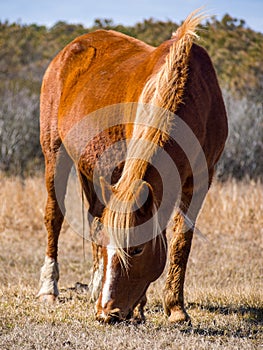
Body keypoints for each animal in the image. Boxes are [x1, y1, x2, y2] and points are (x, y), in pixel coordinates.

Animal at [37, 9, 229, 324]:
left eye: (137, 250)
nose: (107, 313)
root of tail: (72, 48)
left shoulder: (201, 180)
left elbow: (181, 240)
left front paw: (176, 309)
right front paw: (142, 307)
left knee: (94, 214)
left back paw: (94, 286)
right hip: (54, 153)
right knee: (54, 216)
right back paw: (48, 289)